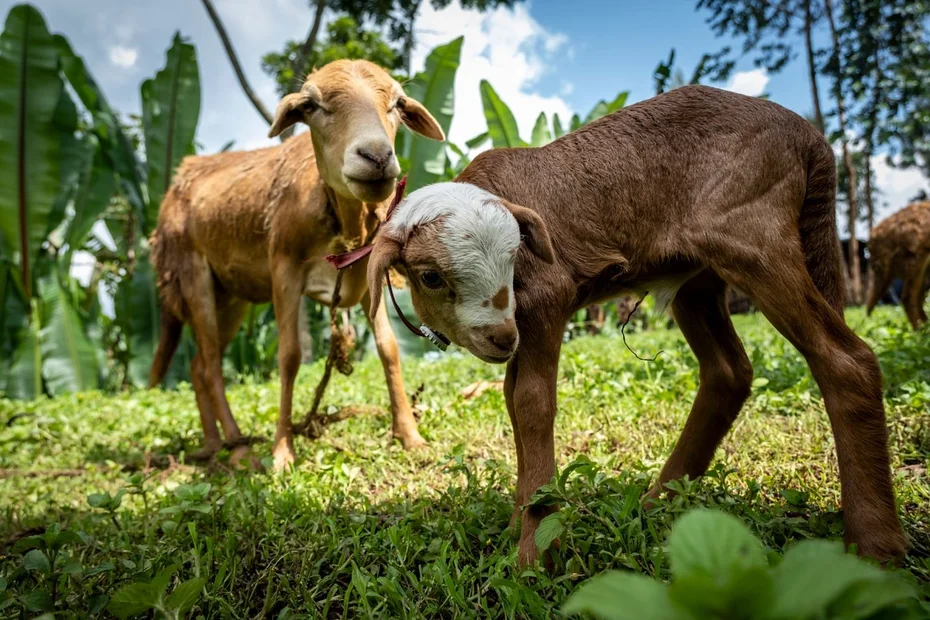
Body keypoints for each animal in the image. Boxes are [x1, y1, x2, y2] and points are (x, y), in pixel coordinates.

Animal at [148, 59, 444, 469]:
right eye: (311, 105)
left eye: (398, 104)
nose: (376, 157)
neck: (343, 220)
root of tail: (177, 182)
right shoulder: (284, 269)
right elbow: (289, 356)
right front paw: (282, 450)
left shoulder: (366, 276)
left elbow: (388, 346)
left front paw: (409, 436)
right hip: (193, 277)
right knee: (210, 366)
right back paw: (240, 449)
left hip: (231, 296)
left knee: (197, 367)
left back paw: (214, 444)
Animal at [362, 85, 908, 566]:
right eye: (430, 276)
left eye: (515, 257)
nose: (500, 338)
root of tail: (810, 136)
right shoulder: (523, 324)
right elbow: (513, 401)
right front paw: (522, 522)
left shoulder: (545, 298)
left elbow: (533, 404)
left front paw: (535, 553)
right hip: (698, 276)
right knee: (729, 371)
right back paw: (660, 502)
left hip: (751, 231)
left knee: (845, 360)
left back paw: (875, 546)